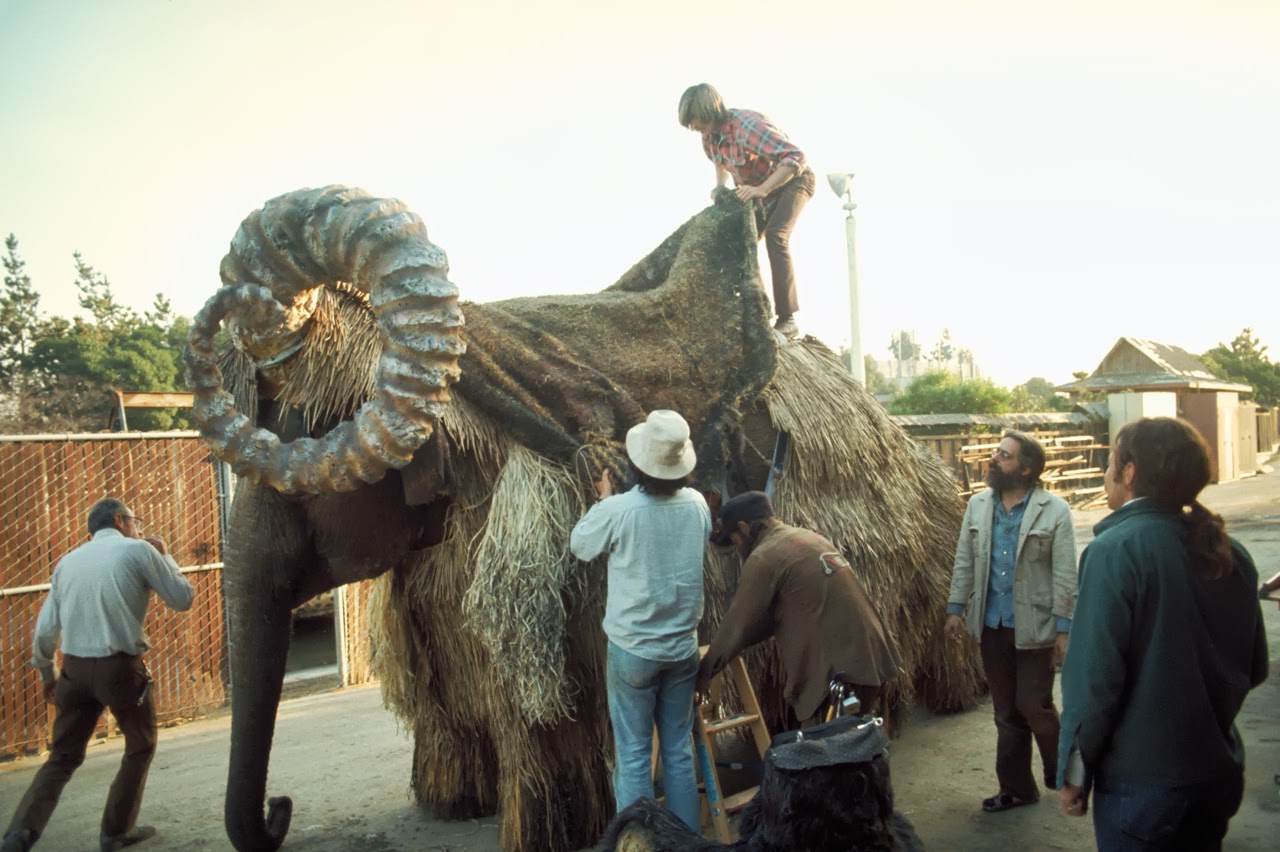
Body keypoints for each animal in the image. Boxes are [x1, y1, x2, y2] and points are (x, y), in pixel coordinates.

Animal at [185, 184, 977, 849]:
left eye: (308, 428)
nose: (279, 810)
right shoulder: (434, 588)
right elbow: (448, 698)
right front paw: (454, 802)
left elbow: (539, 716)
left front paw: (545, 826)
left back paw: (914, 708)